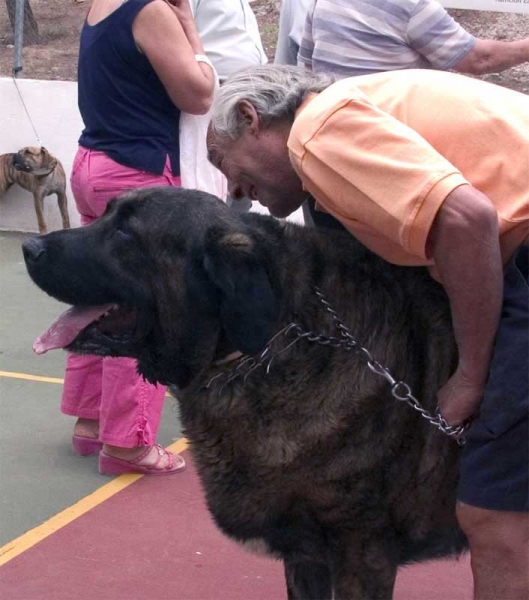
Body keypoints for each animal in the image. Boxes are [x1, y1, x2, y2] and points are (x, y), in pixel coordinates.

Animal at [22, 189, 464, 600]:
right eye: (106, 215)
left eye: (126, 232)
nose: (30, 248)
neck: (274, 336)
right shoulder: (306, 557)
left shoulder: (362, 555)